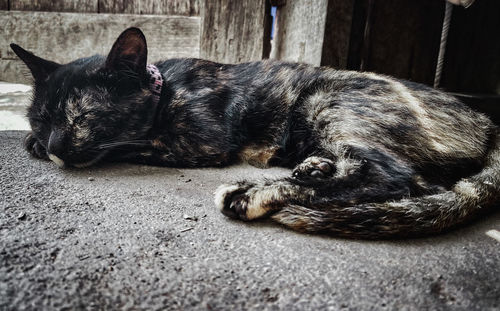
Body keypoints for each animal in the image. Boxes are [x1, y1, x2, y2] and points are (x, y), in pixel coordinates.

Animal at [9, 28, 498, 239]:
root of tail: (486, 121)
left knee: (397, 176)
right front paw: (34, 144)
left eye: (83, 117)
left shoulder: (200, 143)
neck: (166, 89)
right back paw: (312, 167)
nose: (54, 145)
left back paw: (255, 193)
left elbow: (128, 146)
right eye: (40, 119)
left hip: (326, 97)